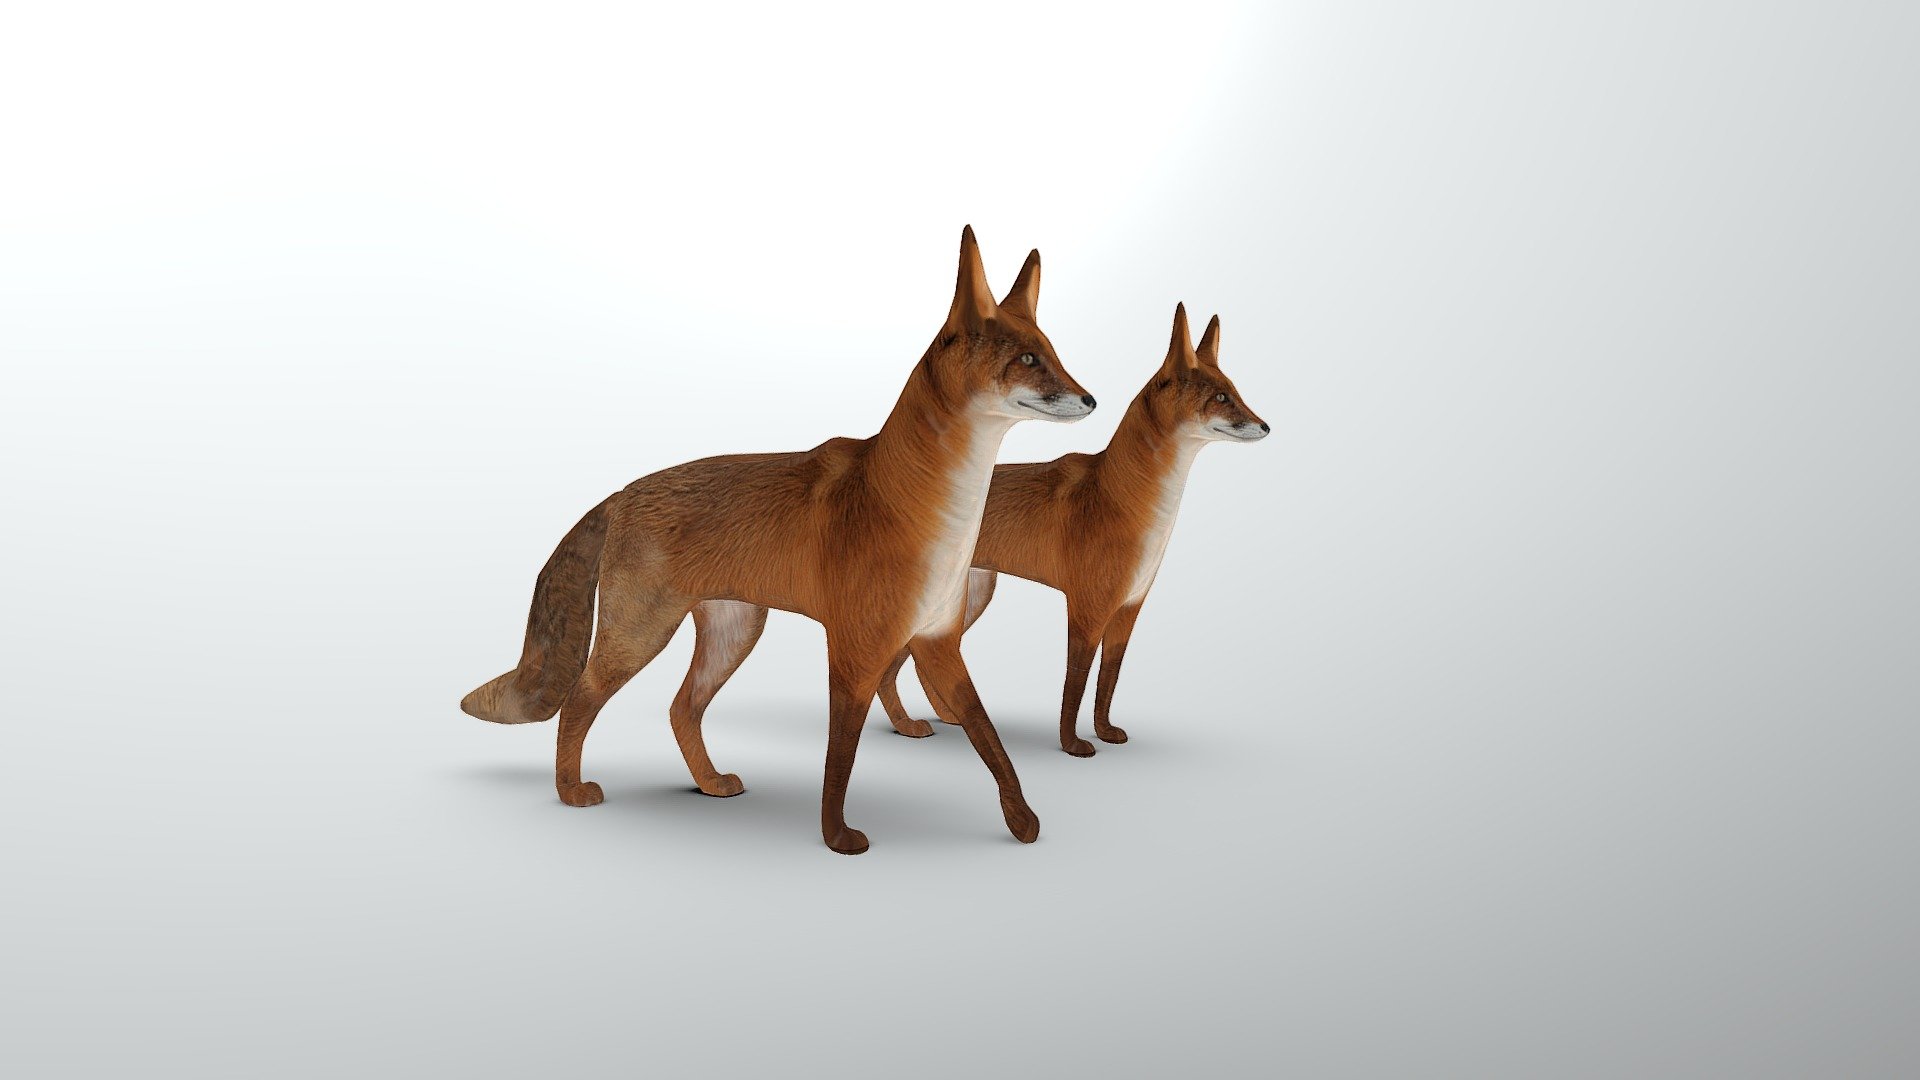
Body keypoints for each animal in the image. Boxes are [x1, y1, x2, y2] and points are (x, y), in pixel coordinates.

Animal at [460, 227, 1096, 854]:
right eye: (1028, 360)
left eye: (1054, 354)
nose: (1091, 399)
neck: (929, 513)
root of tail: (621, 494)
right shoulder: (854, 650)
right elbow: (840, 756)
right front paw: (837, 836)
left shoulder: (938, 641)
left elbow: (990, 740)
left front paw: (1021, 820)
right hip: (640, 636)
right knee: (580, 700)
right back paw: (571, 791)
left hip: (736, 631)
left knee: (680, 709)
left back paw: (708, 783)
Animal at [657, 302, 1267, 760]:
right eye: (1222, 398)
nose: (1264, 424)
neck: (1130, 503)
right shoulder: (1088, 609)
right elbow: (1074, 687)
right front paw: (1073, 745)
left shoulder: (1128, 612)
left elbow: (1106, 686)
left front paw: (1106, 733)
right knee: (893, 669)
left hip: (966, 600)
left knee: (896, 670)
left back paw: (925, 721)